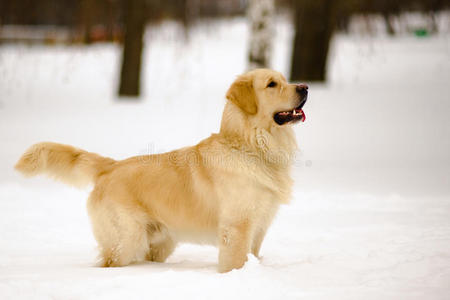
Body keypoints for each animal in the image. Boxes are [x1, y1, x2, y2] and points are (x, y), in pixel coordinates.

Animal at [14, 69, 310, 274]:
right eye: (272, 84)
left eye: (285, 79)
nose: (305, 87)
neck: (250, 146)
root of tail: (111, 166)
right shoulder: (237, 226)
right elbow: (235, 261)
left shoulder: (260, 225)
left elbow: (253, 255)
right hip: (128, 238)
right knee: (109, 262)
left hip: (160, 242)